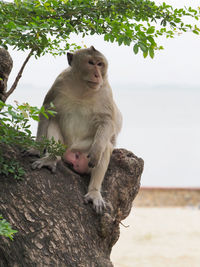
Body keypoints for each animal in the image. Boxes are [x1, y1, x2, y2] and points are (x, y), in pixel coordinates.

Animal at [30, 45, 122, 214]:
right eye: (91, 62)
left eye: (100, 64)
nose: (97, 74)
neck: (82, 88)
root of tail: (71, 153)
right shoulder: (59, 83)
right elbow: (47, 110)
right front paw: (36, 148)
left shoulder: (105, 91)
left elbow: (106, 122)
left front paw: (97, 151)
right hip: (65, 147)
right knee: (53, 123)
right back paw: (51, 158)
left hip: (83, 150)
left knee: (106, 145)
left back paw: (94, 192)